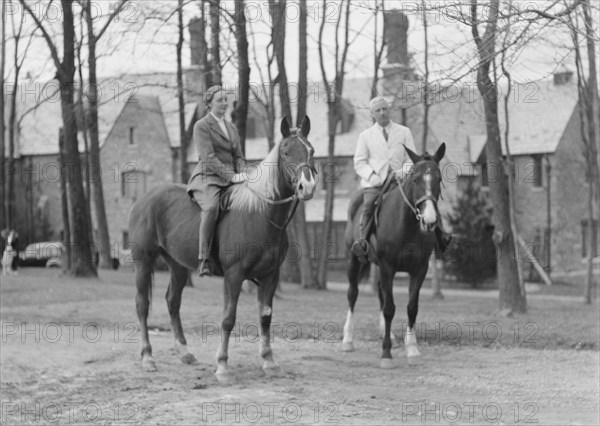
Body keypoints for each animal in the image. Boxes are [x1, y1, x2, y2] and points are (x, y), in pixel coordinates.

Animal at [129, 117, 316, 382]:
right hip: (143, 263)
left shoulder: (270, 275)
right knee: (142, 305)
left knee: (172, 302)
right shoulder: (234, 275)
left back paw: (184, 352)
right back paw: (147, 357)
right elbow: (228, 318)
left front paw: (269, 361)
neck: (260, 213)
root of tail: (143, 199)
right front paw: (223, 366)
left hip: (178, 266)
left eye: (311, 150)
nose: (306, 186)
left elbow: (266, 317)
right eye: (286, 152)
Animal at [342, 142, 446, 366]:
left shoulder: (419, 270)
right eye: (415, 179)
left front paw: (412, 349)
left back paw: (387, 334)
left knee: (381, 295)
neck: (407, 227)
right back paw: (347, 340)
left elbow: (411, 307)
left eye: (439, 179)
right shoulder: (387, 267)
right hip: (354, 260)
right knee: (353, 294)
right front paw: (386, 354)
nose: (429, 220)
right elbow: (390, 308)